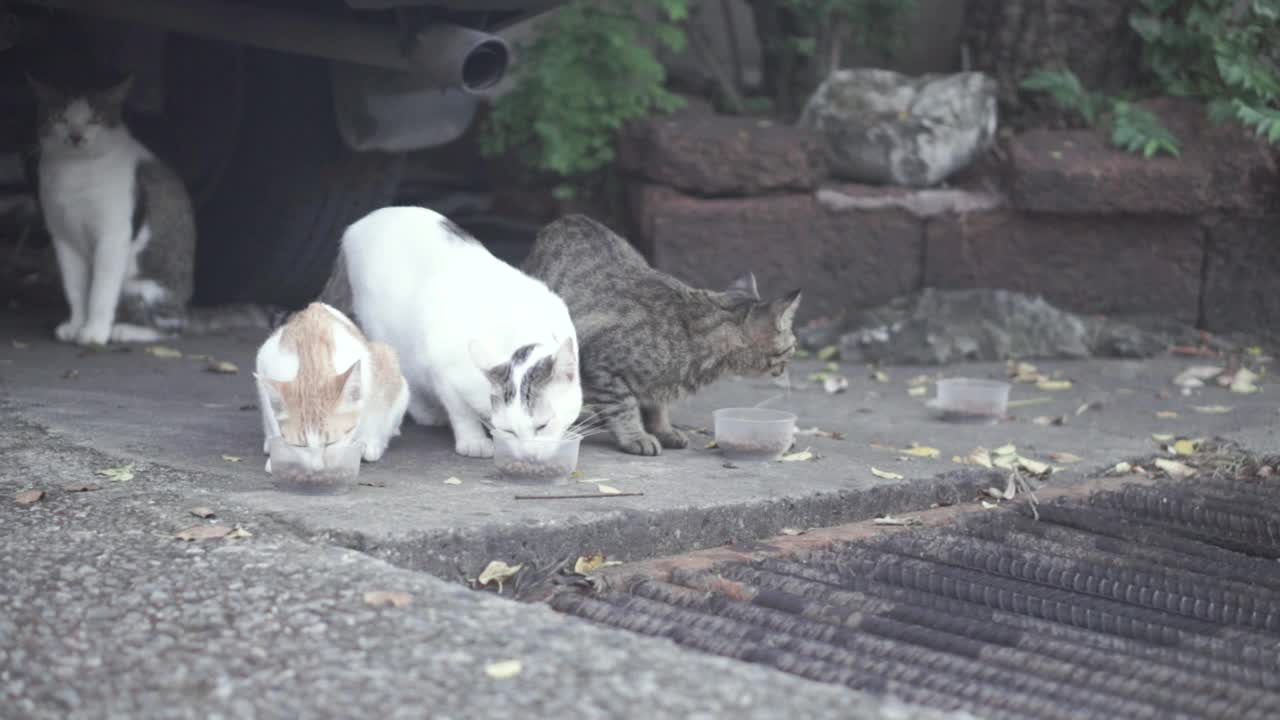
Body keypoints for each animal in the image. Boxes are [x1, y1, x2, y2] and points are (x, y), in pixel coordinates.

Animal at [28, 74, 276, 343]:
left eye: (95, 119)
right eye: (59, 118)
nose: (76, 136)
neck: (75, 170)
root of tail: (186, 308)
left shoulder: (114, 236)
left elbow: (100, 292)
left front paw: (94, 332)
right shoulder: (64, 238)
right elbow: (75, 289)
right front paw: (76, 325)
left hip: (138, 286)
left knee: (172, 329)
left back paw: (124, 330)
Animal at [252, 298, 407, 471]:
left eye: (331, 442)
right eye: (301, 445)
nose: (317, 468)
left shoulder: (371, 370)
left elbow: (372, 414)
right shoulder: (264, 361)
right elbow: (273, 416)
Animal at [327, 204, 583, 456]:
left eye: (543, 426)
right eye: (510, 430)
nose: (529, 454)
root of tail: (357, 226)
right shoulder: (443, 370)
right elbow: (461, 411)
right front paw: (473, 441)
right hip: (388, 334)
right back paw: (426, 414)